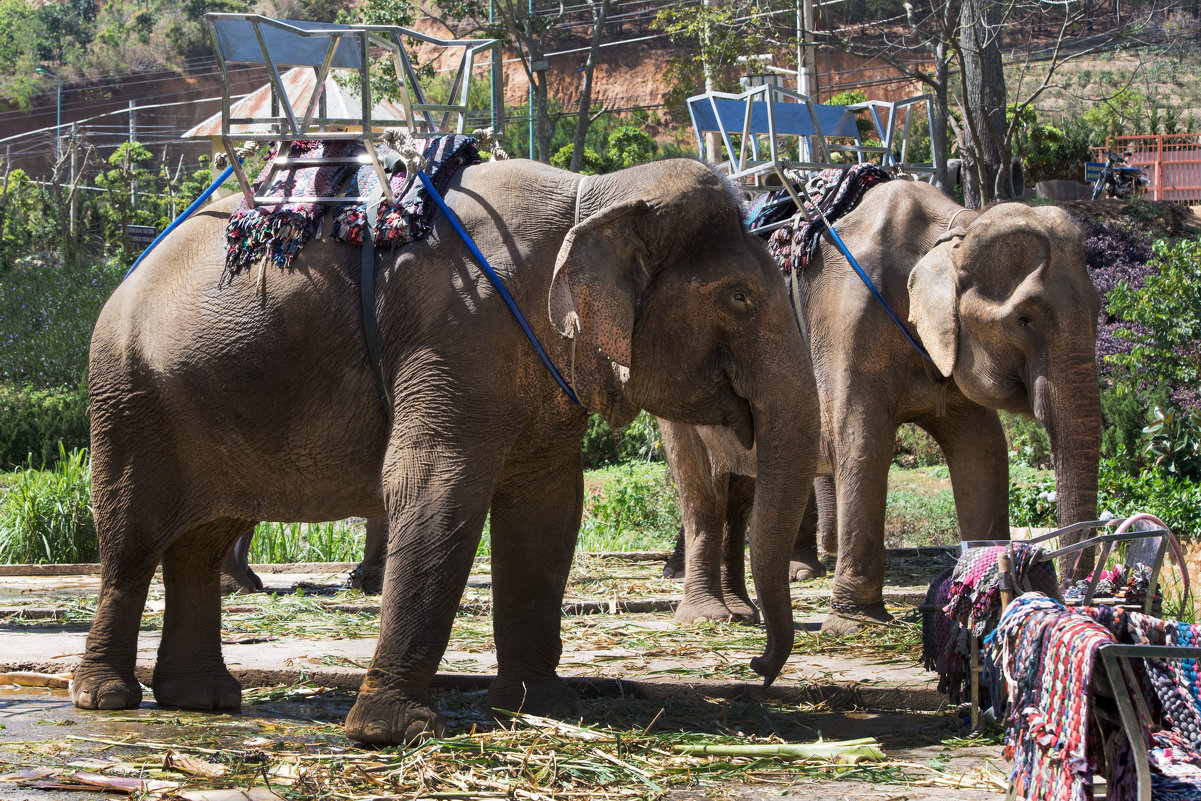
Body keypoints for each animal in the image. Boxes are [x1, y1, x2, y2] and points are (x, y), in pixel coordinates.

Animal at [75, 156, 821, 744]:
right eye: (739, 297)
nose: (756, 668)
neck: (592, 196)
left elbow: (549, 509)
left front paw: (547, 707)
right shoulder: (458, 330)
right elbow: (435, 485)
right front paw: (396, 733)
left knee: (201, 541)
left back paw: (203, 700)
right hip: (127, 394)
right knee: (132, 537)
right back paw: (106, 698)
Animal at [662, 178, 1100, 634]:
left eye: (1100, 308)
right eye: (1025, 319)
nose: (1073, 595)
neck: (954, 227)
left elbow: (982, 450)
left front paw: (986, 594)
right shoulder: (849, 320)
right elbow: (863, 443)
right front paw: (854, 623)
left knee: (741, 487)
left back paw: (742, 612)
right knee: (704, 491)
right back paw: (706, 615)